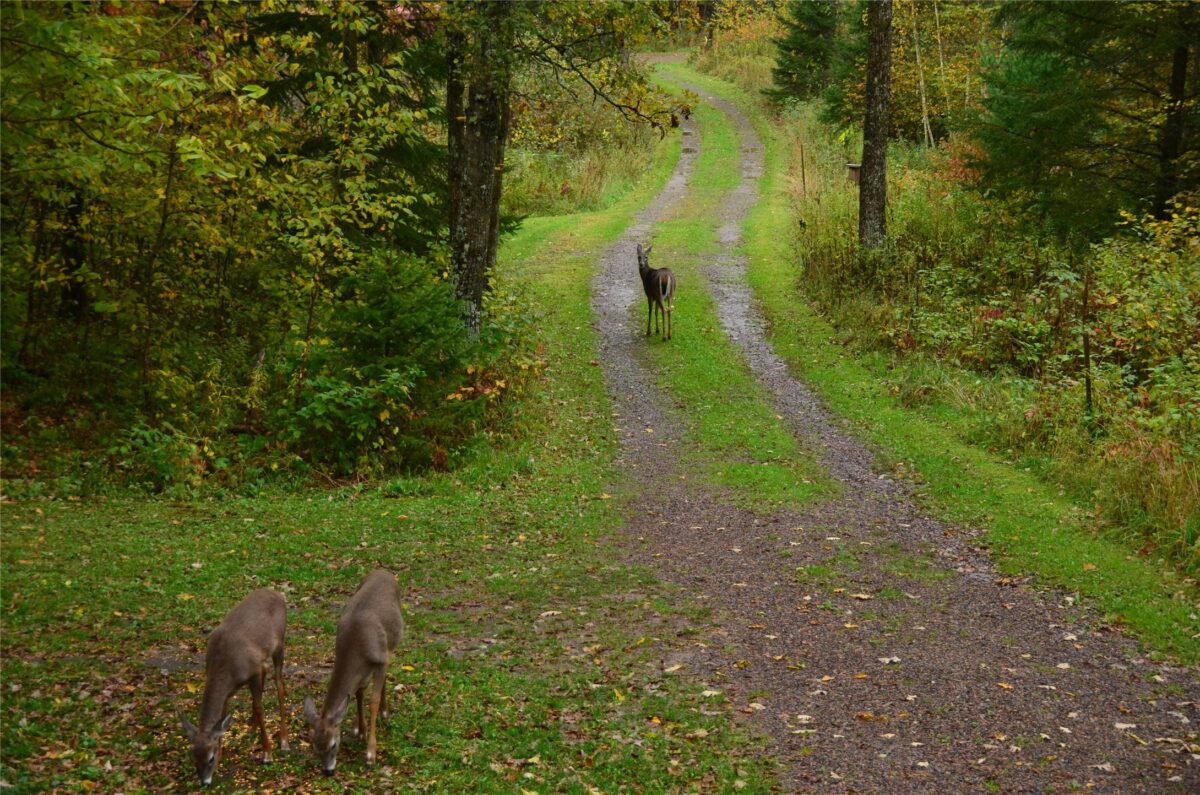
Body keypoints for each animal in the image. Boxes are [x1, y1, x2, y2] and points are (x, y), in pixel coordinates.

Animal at [179, 588, 289, 787]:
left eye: (210, 758)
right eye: (193, 758)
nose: (205, 782)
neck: (225, 667)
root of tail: (277, 593)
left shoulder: (253, 670)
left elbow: (260, 707)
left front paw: (267, 753)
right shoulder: (233, 687)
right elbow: (223, 714)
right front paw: (224, 751)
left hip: (280, 644)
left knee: (279, 685)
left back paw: (284, 741)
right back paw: (252, 727)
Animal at [304, 569, 404, 776]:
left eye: (333, 745)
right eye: (315, 747)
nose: (327, 771)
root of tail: (384, 571)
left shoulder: (379, 660)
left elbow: (372, 701)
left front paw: (370, 754)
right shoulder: (361, 671)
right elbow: (358, 694)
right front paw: (360, 731)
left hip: (390, 645)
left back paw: (385, 713)